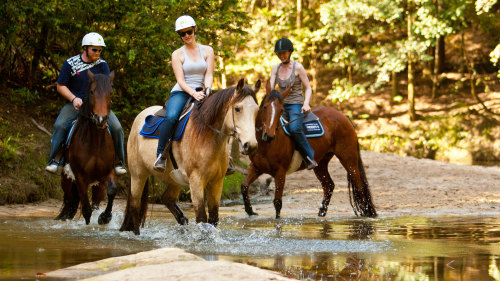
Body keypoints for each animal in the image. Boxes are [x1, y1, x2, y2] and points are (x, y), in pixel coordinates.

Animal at [55, 70, 117, 225]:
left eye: (111, 92)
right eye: (92, 92)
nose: (100, 119)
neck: (96, 143)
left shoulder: (107, 173)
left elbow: (112, 191)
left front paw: (105, 218)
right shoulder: (80, 178)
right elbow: (86, 211)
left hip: (97, 185)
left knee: (93, 203)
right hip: (67, 180)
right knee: (70, 200)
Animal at [121, 79, 262, 234]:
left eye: (256, 110)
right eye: (237, 109)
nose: (251, 145)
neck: (206, 136)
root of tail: (139, 117)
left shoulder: (216, 181)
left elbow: (213, 218)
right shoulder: (196, 181)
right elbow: (201, 218)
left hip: (175, 179)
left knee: (167, 199)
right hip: (138, 175)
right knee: (134, 206)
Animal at [240, 82, 376, 218]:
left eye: (281, 110)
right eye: (264, 107)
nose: (269, 135)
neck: (266, 145)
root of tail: (344, 117)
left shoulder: (280, 172)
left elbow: (277, 203)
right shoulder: (256, 167)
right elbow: (244, 186)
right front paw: (250, 210)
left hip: (348, 159)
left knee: (359, 186)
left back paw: (366, 213)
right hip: (321, 164)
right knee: (329, 185)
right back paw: (322, 212)